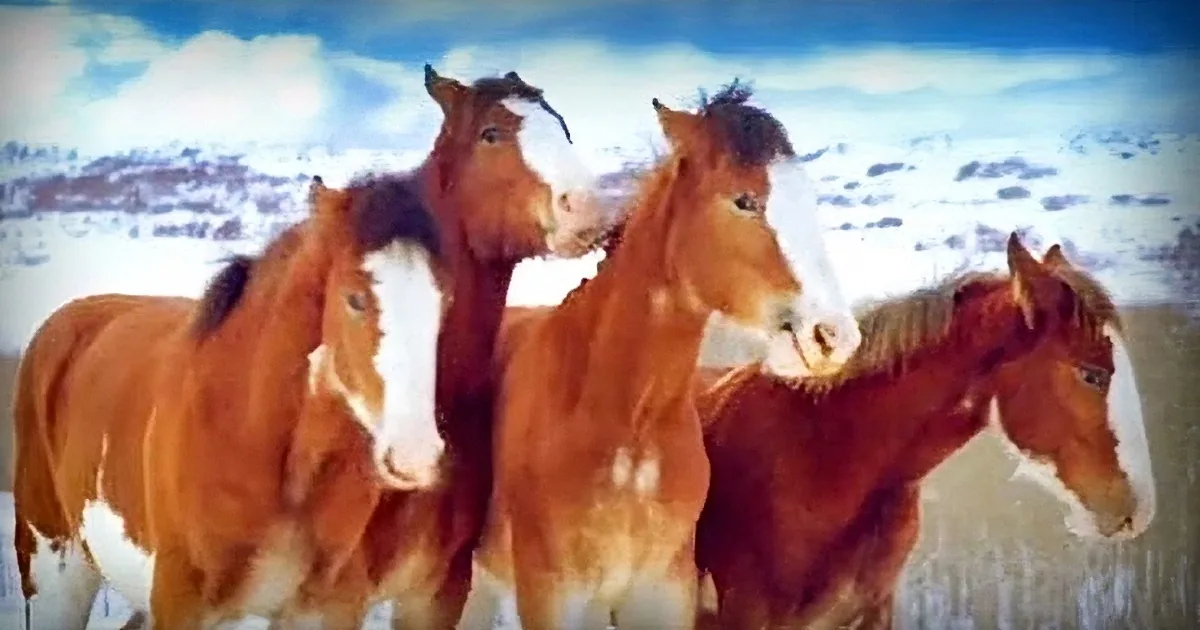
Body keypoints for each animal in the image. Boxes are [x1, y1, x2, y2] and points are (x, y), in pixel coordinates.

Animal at [10, 172, 448, 628]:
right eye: (355, 299)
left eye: (443, 302)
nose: (416, 455)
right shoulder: (180, 604)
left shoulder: (325, 608)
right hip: (55, 569)